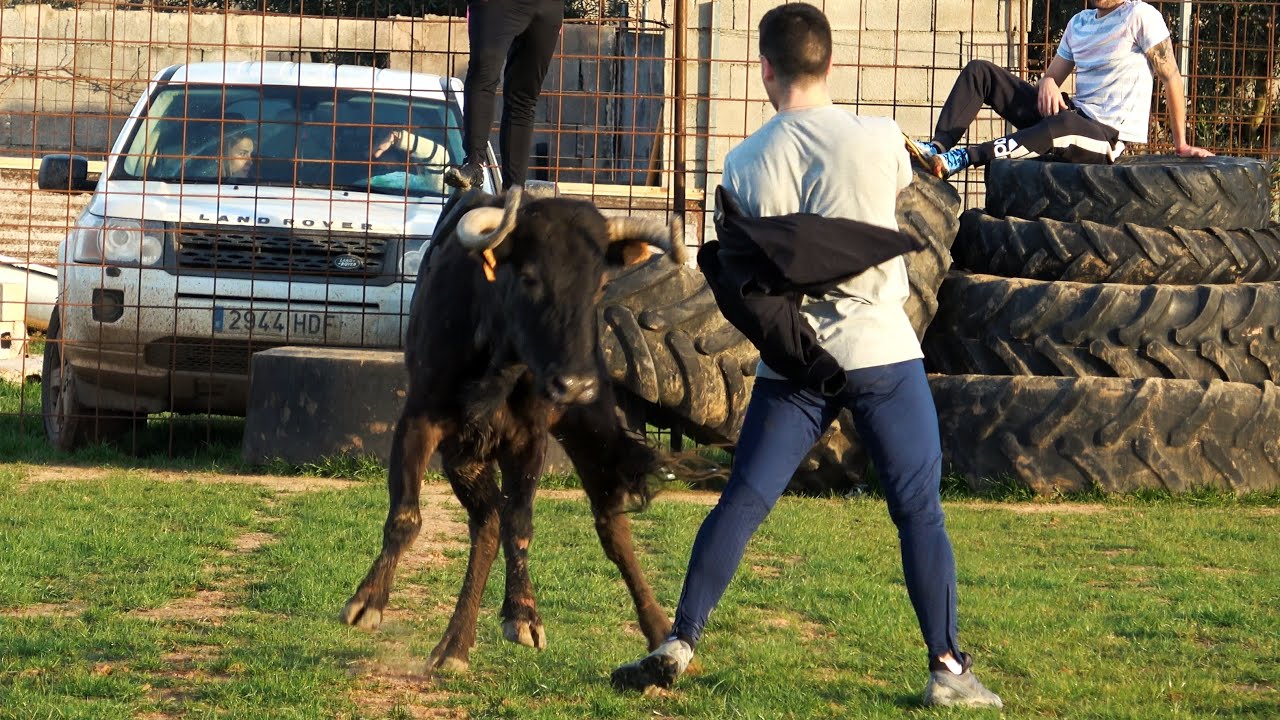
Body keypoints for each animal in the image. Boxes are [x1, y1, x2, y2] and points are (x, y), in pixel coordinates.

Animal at [340, 186, 684, 672]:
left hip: (590, 429)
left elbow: (519, 523)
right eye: (528, 277)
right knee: (486, 526)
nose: (574, 385)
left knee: (610, 526)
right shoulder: (420, 423)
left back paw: (658, 634)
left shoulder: (528, 439)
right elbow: (406, 516)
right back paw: (455, 644)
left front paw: (522, 614)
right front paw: (368, 601)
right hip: (466, 458)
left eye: (599, 285)